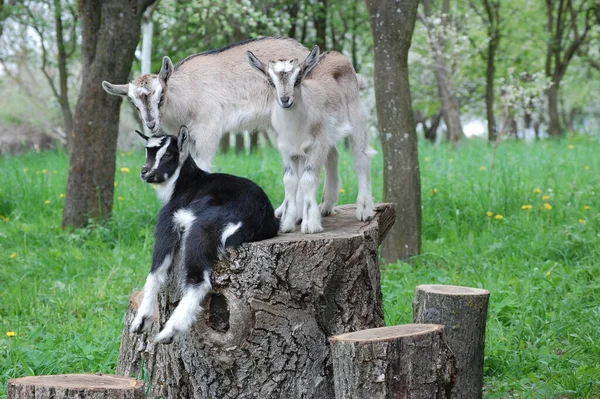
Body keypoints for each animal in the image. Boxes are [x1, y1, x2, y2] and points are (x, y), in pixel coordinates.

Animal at [102, 38, 310, 173]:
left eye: (161, 96)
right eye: (133, 103)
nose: (151, 124)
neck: (186, 95)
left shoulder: (207, 131)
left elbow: (201, 165)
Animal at [131, 126, 278, 346]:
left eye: (168, 154)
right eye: (147, 151)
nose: (145, 172)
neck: (185, 183)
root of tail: (257, 218)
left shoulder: (169, 218)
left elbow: (156, 269)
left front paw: (141, 320)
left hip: (202, 228)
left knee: (199, 279)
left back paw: (170, 331)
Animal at [246, 45, 372, 233]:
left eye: (297, 79)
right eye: (271, 81)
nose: (285, 100)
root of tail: (337, 55)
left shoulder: (316, 146)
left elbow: (307, 179)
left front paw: (310, 224)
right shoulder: (288, 150)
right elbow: (290, 181)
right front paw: (287, 222)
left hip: (356, 116)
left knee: (361, 157)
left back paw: (364, 210)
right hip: (327, 134)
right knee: (333, 155)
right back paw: (325, 205)